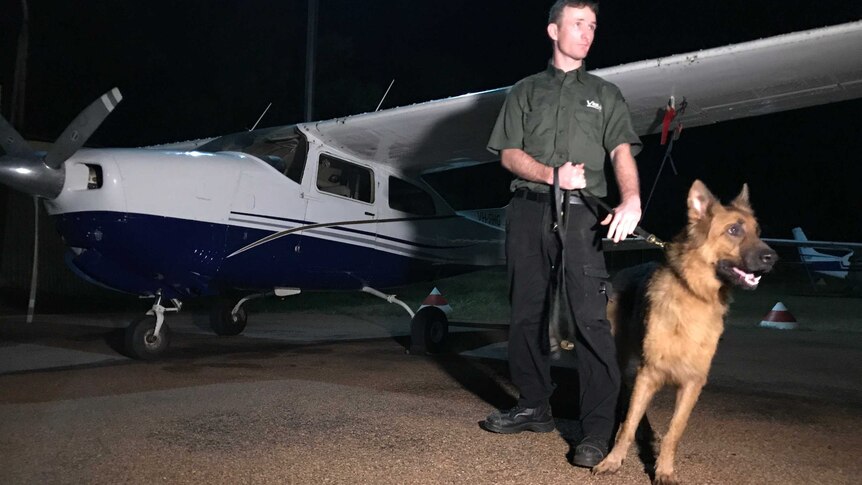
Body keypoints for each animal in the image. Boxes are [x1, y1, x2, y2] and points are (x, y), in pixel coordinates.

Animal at [596, 181, 780, 484]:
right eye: (734, 230)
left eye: (758, 231)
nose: (773, 257)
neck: (695, 295)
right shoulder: (648, 373)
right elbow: (628, 424)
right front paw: (613, 460)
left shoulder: (693, 383)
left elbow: (674, 432)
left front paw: (664, 470)